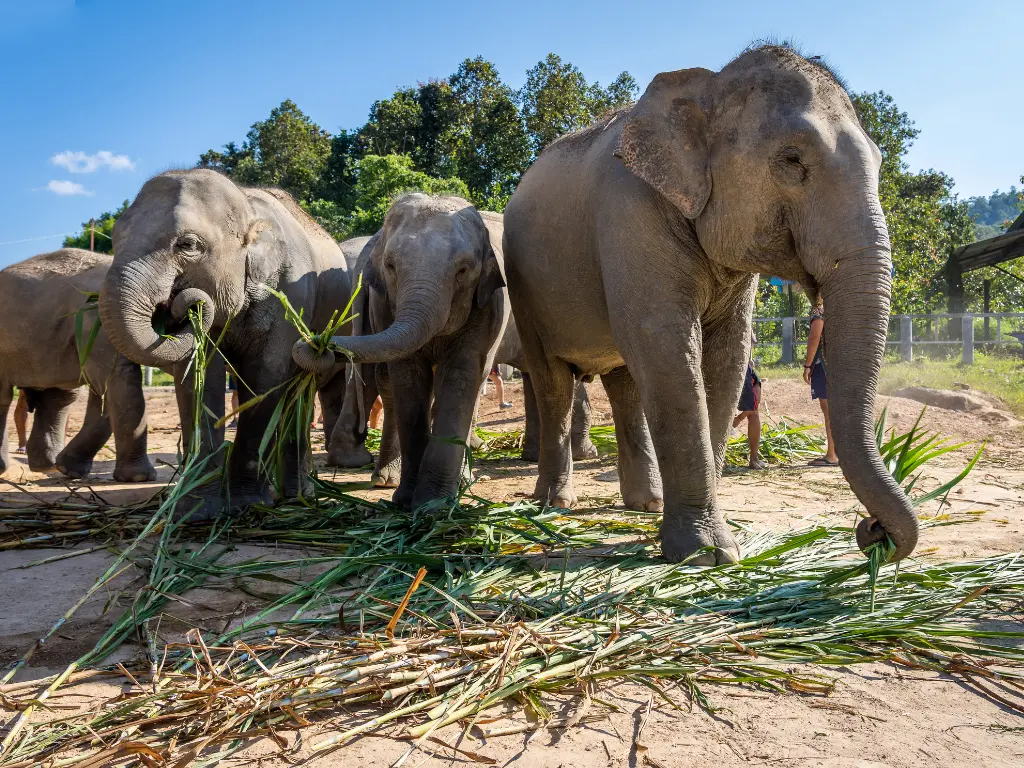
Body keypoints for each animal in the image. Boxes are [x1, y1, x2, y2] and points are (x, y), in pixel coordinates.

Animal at [0, 250, 155, 481]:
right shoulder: (99, 320)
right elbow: (116, 379)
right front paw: (139, 478)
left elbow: (106, 390)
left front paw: (70, 470)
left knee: (58, 398)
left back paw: (47, 466)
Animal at [97, 167, 352, 518]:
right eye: (116, 236)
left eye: (188, 244)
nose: (181, 304)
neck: (247, 208)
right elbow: (198, 378)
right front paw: (196, 510)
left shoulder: (290, 297)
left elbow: (266, 377)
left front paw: (247, 503)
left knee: (300, 392)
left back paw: (297, 497)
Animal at [292, 192, 503, 507]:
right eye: (391, 266)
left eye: (463, 271)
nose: (318, 344)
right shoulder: (384, 305)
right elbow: (407, 377)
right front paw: (408, 501)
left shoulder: (485, 306)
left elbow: (460, 377)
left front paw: (433, 505)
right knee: (385, 380)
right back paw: (384, 478)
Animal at [503, 45, 921, 569]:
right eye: (792, 160)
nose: (871, 531)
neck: (709, 86)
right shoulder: (628, 213)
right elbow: (665, 344)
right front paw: (706, 554)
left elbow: (727, 356)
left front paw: (716, 546)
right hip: (525, 289)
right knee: (553, 381)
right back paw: (553, 503)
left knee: (624, 382)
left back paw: (645, 503)